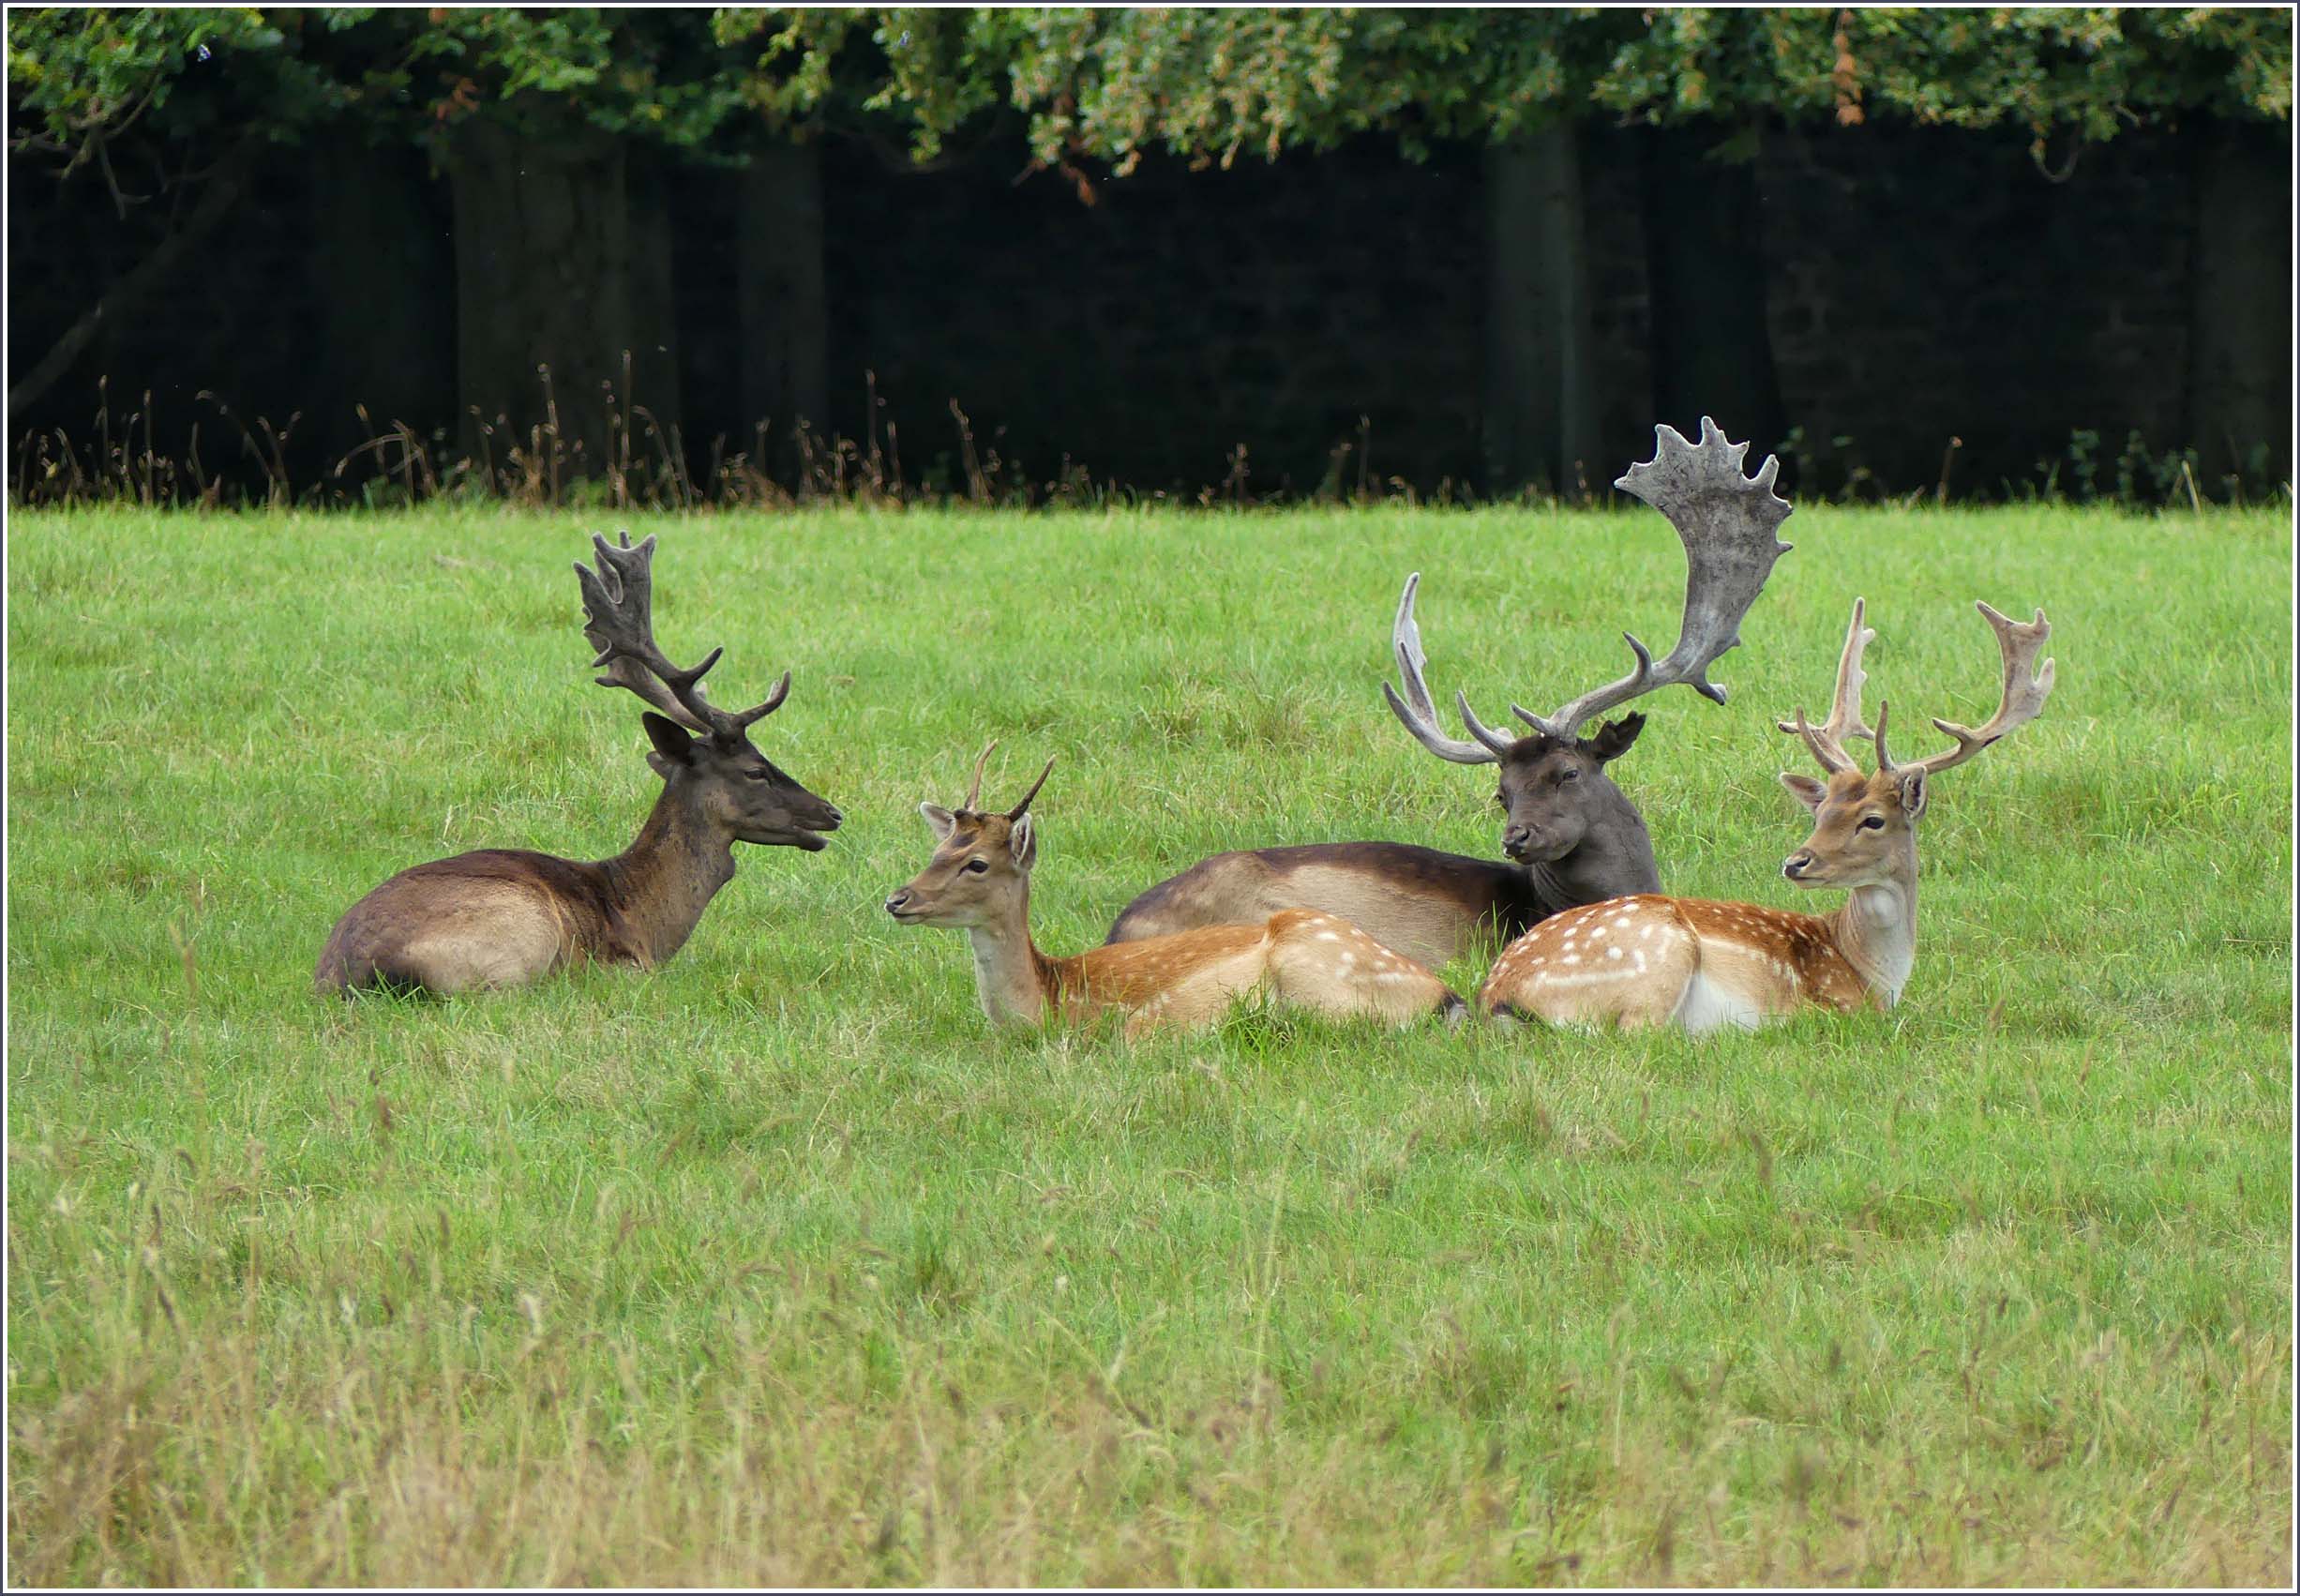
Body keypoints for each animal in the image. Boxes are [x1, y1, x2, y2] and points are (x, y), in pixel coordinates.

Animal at [312, 531, 836, 993]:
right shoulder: (627, 964)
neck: (642, 917)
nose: (833, 812)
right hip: (515, 935)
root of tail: (354, 973)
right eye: (755, 770)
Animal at [1481, 597, 2060, 1039]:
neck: (1874, 973)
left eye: (1872, 819)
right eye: (1820, 811)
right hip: (1657, 960)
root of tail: (1497, 993)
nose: (1796, 863)